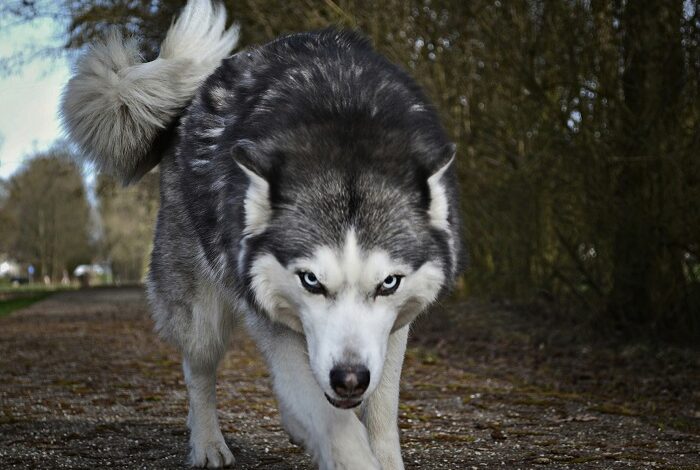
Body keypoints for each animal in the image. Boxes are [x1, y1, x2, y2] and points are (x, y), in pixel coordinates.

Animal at [63, 0, 462, 466]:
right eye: (311, 280)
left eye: (388, 283)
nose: (348, 379)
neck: (344, 125)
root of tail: (195, 97)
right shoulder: (274, 321)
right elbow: (337, 428)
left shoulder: (391, 333)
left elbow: (379, 413)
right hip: (201, 314)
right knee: (198, 371)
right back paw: (208, 445)